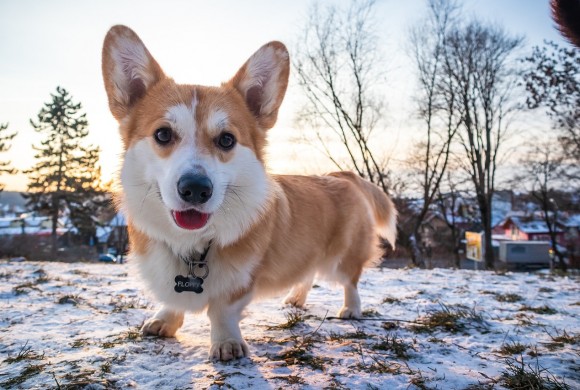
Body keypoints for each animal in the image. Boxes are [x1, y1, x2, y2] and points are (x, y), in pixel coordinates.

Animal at [102, 24, 396, 362]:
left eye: (227, 139)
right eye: (163, 134)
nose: (196, 189)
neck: (192, 243)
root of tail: (341, 175)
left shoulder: (240, 280)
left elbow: (222, 311)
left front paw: (227, 343)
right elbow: (173, 300)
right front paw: (165, 319)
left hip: (343, 257)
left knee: (351, 280)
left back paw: (351, 308)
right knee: (307, 273)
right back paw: (296, 298)